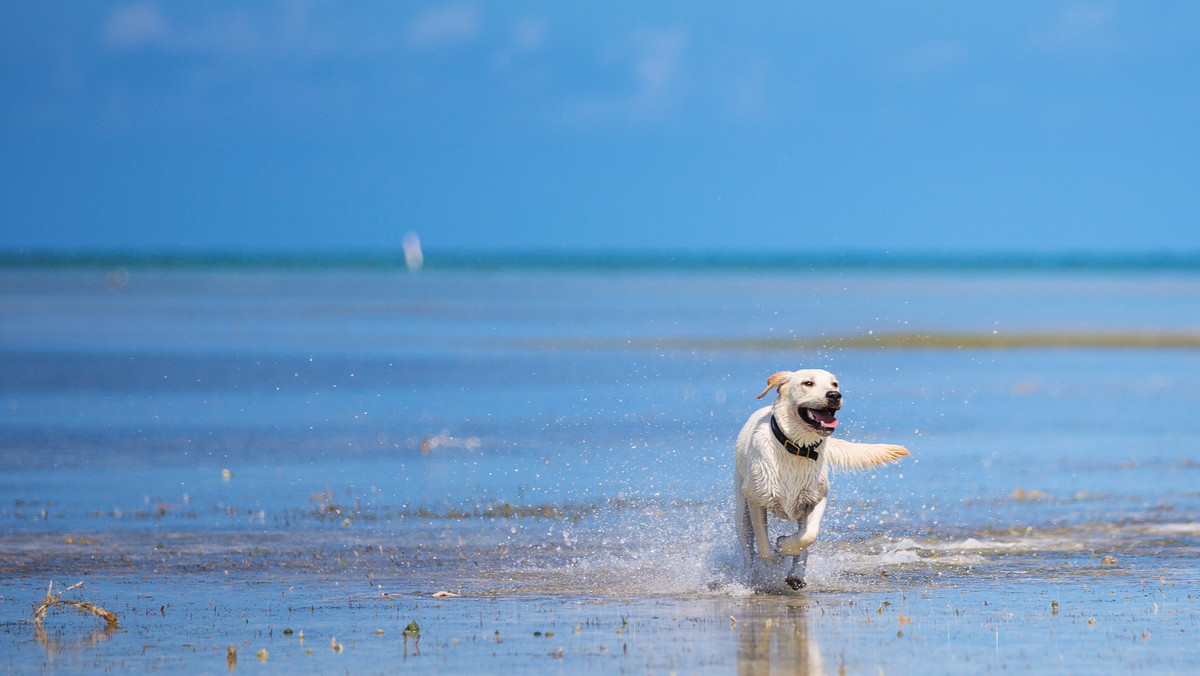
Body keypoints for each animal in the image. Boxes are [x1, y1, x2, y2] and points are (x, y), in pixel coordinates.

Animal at [729, 367, 907, 590]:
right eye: (807, 383)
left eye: (835, 384)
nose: (834, 396)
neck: (797, 448)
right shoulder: (756, 499)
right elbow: (763, 546)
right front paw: (776, 558)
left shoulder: (816, 498)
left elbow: (809, 535)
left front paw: (785, 546)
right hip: (741, 511)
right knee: (748, 549)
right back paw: (748, 577)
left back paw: (796, 575)